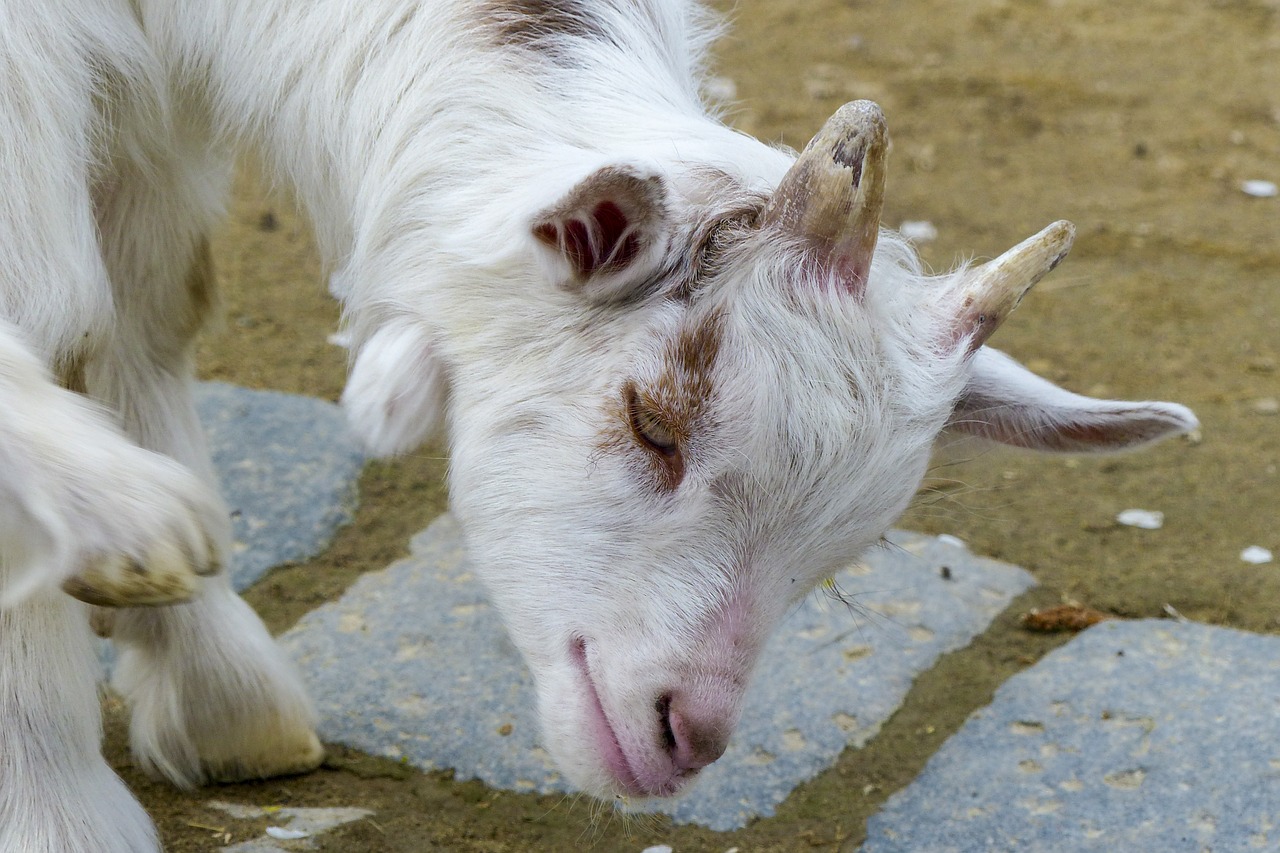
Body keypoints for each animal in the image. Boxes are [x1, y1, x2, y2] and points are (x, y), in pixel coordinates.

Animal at [0, 0, 1198, 845]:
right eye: (653, 422)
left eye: (848, 550)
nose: (683, 733)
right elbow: (54, 301)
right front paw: (58, 802)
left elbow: (151, 300)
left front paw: (211, 683)